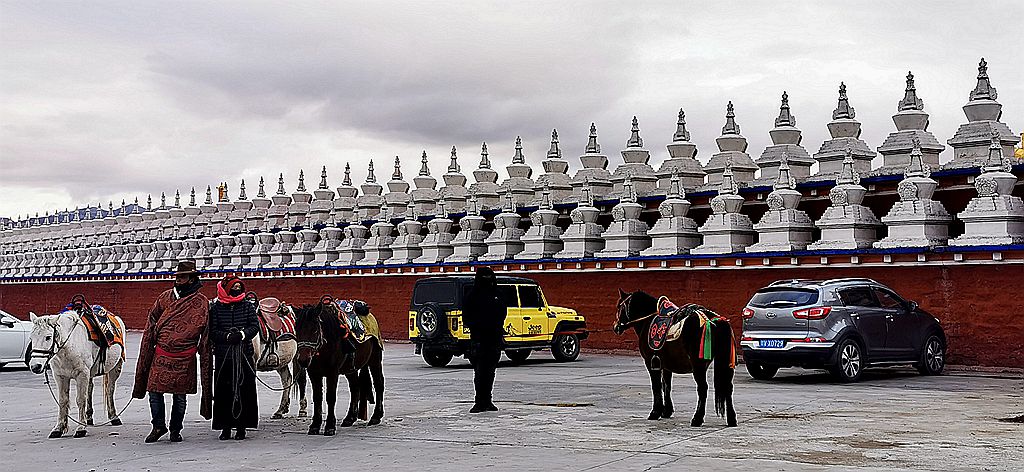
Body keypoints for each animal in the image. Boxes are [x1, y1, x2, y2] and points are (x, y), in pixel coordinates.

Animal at [27, 309, 124, 438]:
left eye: (48, 337)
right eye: (31, 338)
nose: (35, 366)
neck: (68, 347)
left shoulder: (82, 375)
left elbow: (80, 399)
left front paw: (81, 428)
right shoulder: (60, 377)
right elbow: (63, 400)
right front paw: (59, 428)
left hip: (115, 368)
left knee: (110, 390)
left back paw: (114, 417)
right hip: (90, 374)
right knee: (90, 389)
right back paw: (89, 417)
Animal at [294, 294, 385, 434]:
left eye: (315, 330)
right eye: (297, 330)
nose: (303, 360)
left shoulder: (333, 372)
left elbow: (330, 397)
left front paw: (330, 426)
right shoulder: (313, 373)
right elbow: (317, 397)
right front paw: (315, 425)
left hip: (375, 360)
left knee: (379, 384)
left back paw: (376, 416)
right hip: (351, 369)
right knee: (355, 387)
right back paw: (350, 418)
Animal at [614, 286, 737, 425]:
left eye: (619, 306)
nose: (616, 327)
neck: (647, 321)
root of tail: (713, 319)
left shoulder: (651, 362)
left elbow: (656, 386)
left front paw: (655, 412)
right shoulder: (665, 365)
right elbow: (666, 386)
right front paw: (666, 411)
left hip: (698, 365)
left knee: (703, 388)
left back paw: (697, 418)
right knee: (728, 387)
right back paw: (731, 418)